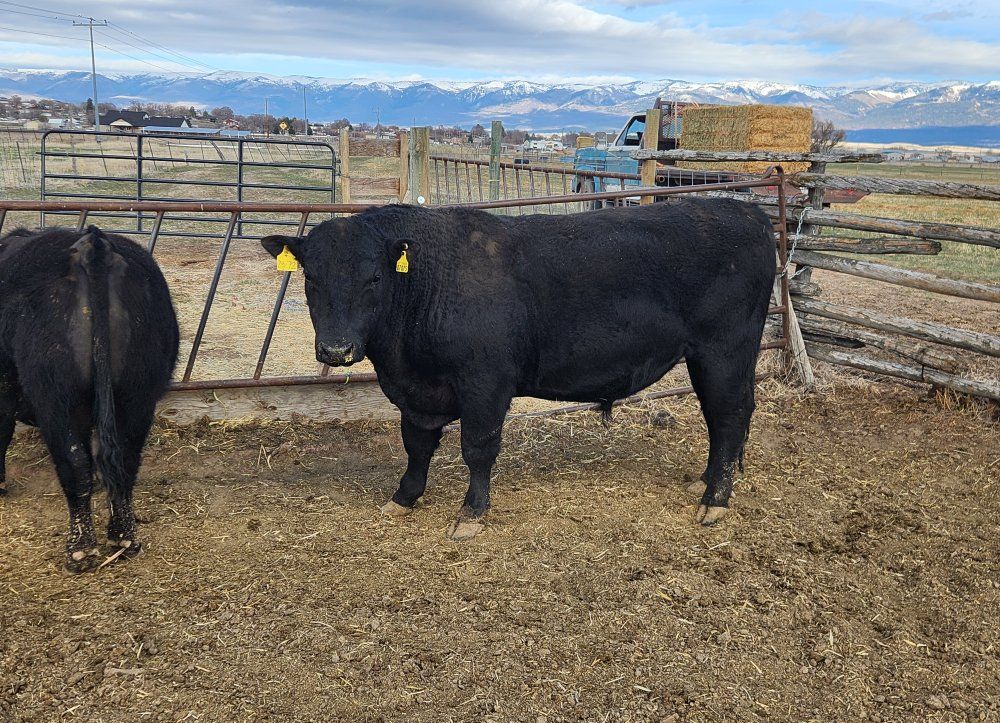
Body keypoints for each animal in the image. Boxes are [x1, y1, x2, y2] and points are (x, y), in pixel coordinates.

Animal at [0, 226, 179, 571]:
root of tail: (93, 245)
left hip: (58, 397)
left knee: (75, 463)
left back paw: (80, 549)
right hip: (137, 393)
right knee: (124, 460)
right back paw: (123, 538)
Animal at [261, 199, 774, 539]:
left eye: (374, 277)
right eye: (310, 277)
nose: (336, 349)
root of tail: (746, 210)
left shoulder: (486, 381)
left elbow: (478, 448)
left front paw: (471, 513)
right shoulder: (416, 392)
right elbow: (417, 444)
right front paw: (404, 498)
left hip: (725, 351)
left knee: (729, 417)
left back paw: (715, 501)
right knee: (721, 422)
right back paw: (705, 483)